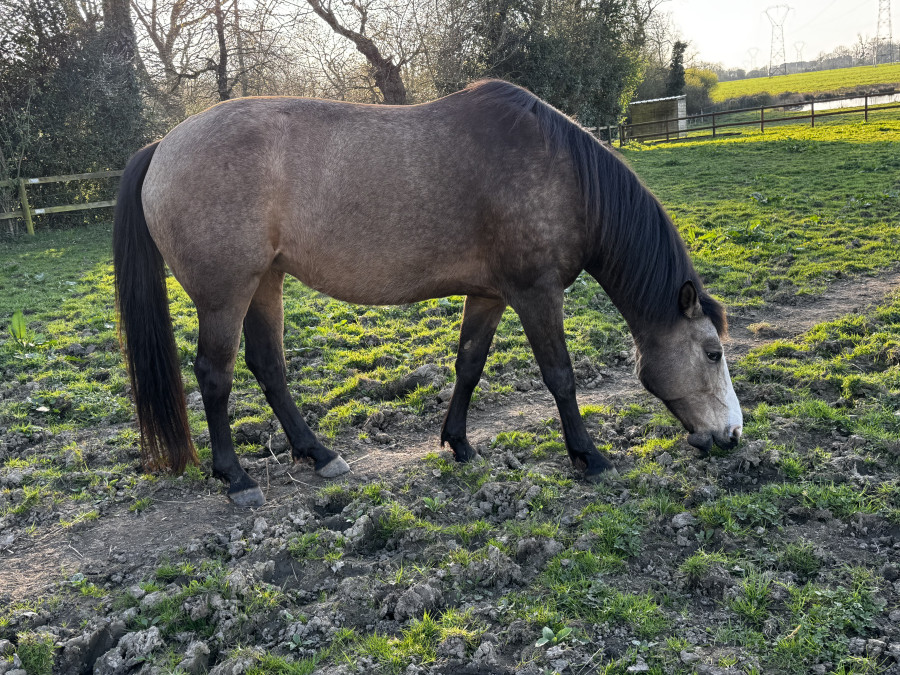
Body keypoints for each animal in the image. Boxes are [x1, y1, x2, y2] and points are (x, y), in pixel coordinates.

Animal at [113, 79, 742, 508]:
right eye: (713, 353)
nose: (732, 437)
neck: (560, 173)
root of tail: (163, 146)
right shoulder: (536, 294)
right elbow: (560, 377)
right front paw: (589, 456)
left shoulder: (491, 295)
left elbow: (469, 364)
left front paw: (460, 444)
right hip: (226, 294)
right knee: (214, 375)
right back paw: (236, 478)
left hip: (265, 282)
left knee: (267, 365)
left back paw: (319, 455)